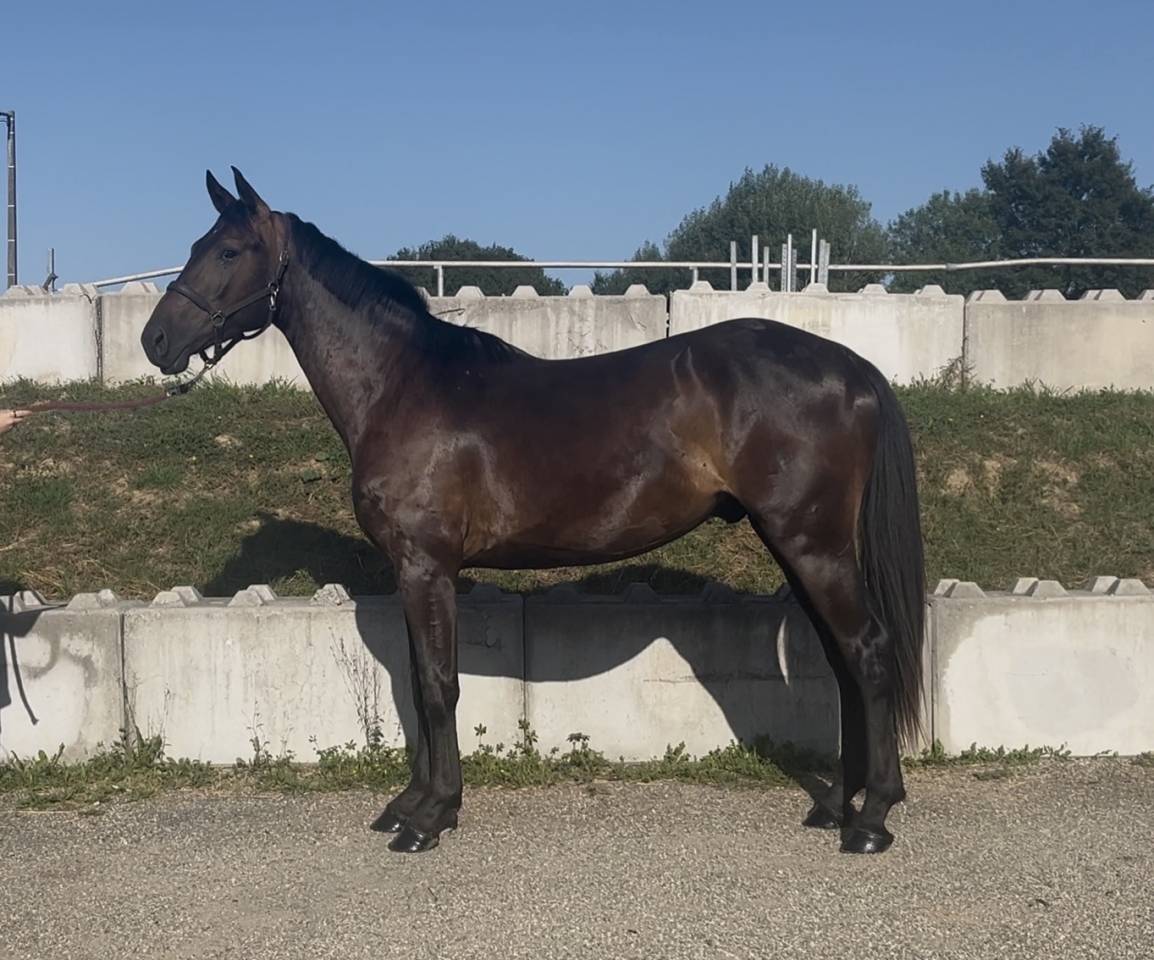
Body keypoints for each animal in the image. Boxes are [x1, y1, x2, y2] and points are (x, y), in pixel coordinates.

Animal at [141, 167, 926, 856]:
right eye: (196, 245)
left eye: (229, 250)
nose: (155, 340)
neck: (402, 385)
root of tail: (852, 369)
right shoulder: (412, 572)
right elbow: (417, 686)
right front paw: (410, 803)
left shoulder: (427, 566)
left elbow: (437, 689)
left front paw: (430, 817)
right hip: (796, 544)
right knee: (842, 661)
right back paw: (839, 805)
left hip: (813, 543)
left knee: (869, 653)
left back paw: (873, 819)